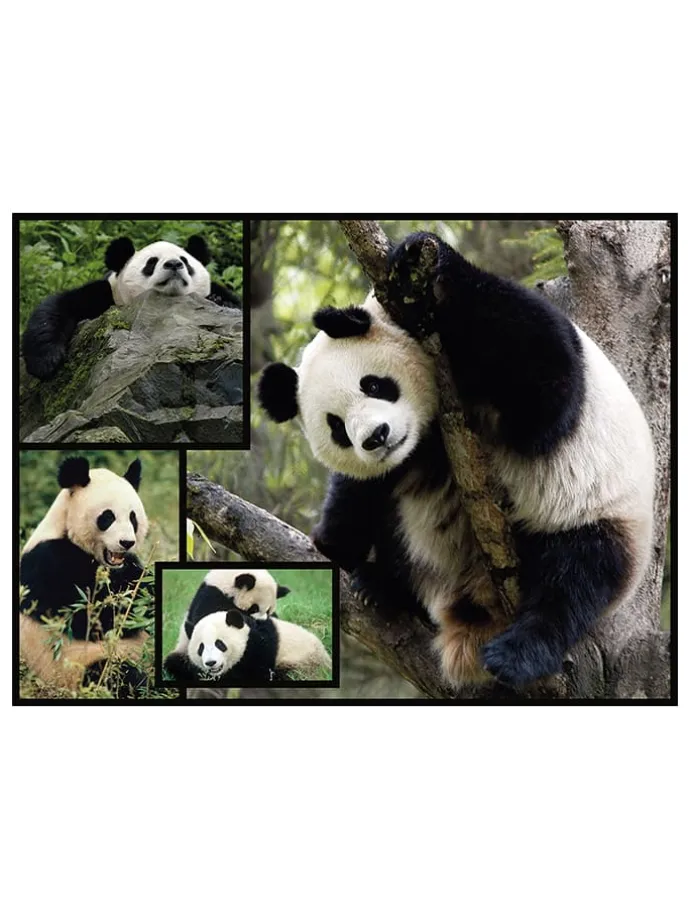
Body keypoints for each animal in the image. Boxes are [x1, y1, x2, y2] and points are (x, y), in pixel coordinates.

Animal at [19, 455, 152, 697]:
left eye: (133, 517)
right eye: (107, 517)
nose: (127, 542)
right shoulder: (47, 563)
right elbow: (90, 617)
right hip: (75, 669)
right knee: (116, 675)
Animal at [22, 234, 241, 381]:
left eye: (185, 261)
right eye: (151, 262)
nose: (173, 264)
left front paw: (220, 301)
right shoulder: (106, 294)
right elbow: (59, 307)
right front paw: (46, 362)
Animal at [163, 609, 331, 686]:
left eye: (220, 644)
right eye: (201, 648)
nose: (211, 663)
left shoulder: (259, 648)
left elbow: (251, 675)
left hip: (305, 664)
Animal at [258, 231, 656, 689]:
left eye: (373, 385)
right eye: (337, 428)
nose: (376, 437)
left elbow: (545, 388)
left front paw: (419, 257)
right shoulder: (404, 455)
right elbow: (360, 491)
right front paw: (334, 542)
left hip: (598, 513)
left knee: (576, 578)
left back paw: (518, 653)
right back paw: (384, 588)